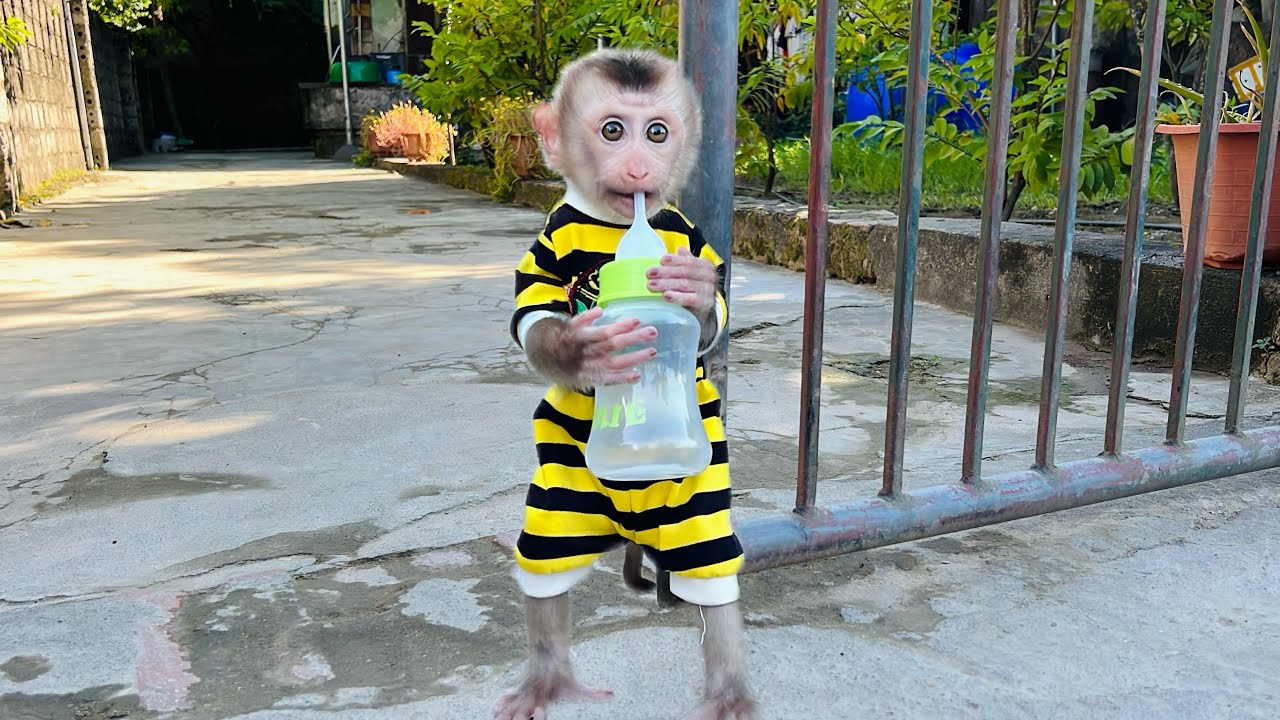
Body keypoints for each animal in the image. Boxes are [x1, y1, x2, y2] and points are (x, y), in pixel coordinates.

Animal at [495, 48, 758, 720]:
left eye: (657, 132)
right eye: (613, 130)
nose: (641, 167)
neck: (613, 224)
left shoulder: (693, 239)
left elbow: (708, 316)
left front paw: (693, 289)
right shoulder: (541, 255)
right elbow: (536, 323)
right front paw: (583, 346)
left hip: (695, 502)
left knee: (709, 571)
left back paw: (729, 692)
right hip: (562, 500)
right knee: (546, 567)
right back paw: (547, 680)